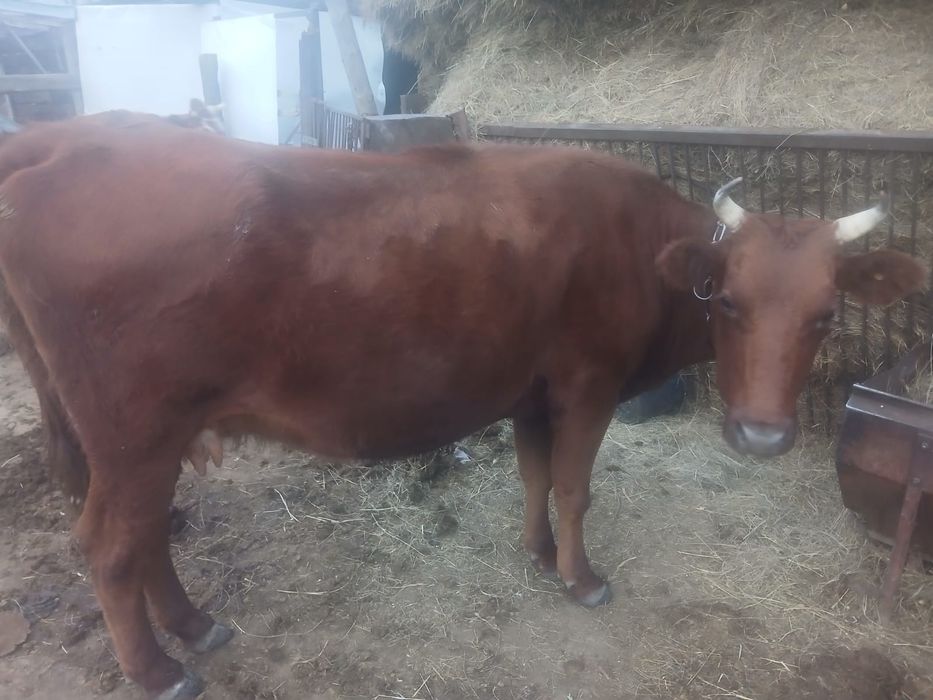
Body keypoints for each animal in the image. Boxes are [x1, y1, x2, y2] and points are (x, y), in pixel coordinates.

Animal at [0, 111, 924, 699]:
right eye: (727, 302)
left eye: (825, 314)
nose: (762, 435)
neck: (631, 241)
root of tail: (53, 155)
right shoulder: (587, 383)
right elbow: (573, 486)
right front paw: (581, 578)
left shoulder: (529, 391)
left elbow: (533, 477)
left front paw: (537, 554)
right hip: (136, 434)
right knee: (109, 546)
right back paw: (159, 671)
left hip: (152, 438)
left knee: (147, 538)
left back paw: (194, 627)